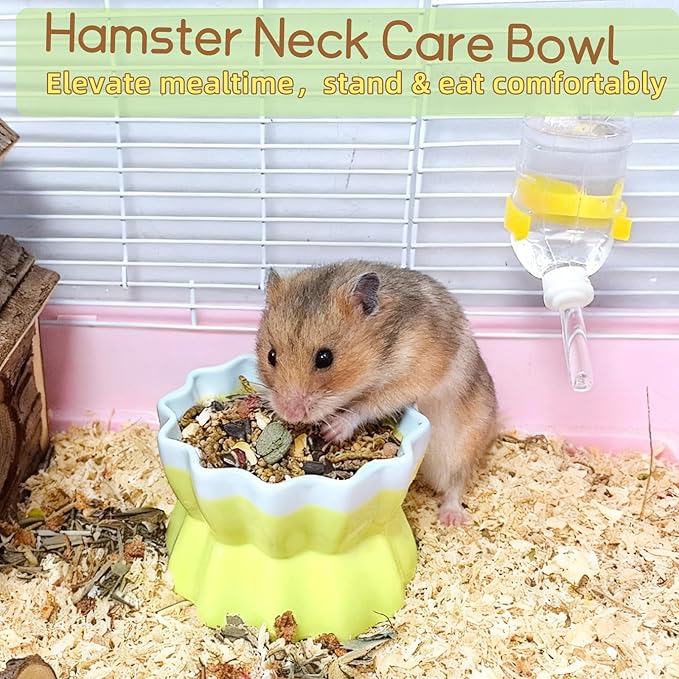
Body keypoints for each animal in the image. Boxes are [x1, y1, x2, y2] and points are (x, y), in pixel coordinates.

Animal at [254, 260, 498, 526]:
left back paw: (450, 519)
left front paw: (332, 431)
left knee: (456, 483)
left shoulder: (416, 373)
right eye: (271, 355)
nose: (290, 414)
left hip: (464, 445)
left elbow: (369, 405)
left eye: (325, 358)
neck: (381, 350)